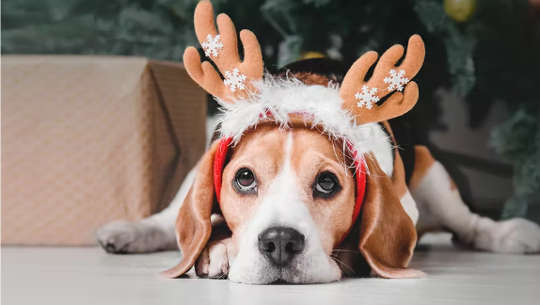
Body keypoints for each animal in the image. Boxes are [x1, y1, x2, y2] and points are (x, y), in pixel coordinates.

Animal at [97, 1, 540, 284]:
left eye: (328, 183)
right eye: (244, 178)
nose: (279, 242)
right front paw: (219, 248)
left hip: (434, 175)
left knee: (470, 225)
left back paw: (511, 234)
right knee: (169, 219)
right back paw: (130, 232)